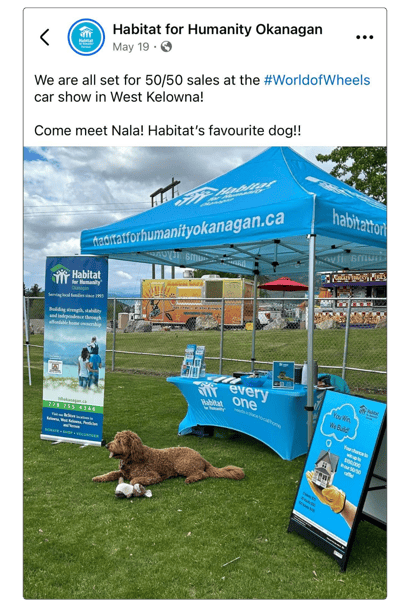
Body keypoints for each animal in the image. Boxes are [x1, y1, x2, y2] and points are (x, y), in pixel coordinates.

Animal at [93, 430, 245, 486]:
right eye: (114, 438)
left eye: (120, 441)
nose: (106, 445)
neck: (133, 459)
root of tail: (201, 457)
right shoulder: (122, 471)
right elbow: (111, 473)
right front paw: (99, 477)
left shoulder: (153, 476)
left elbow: (134, 479)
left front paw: (134, 482)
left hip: (182, 465)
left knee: (203, 474)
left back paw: (190, 479)